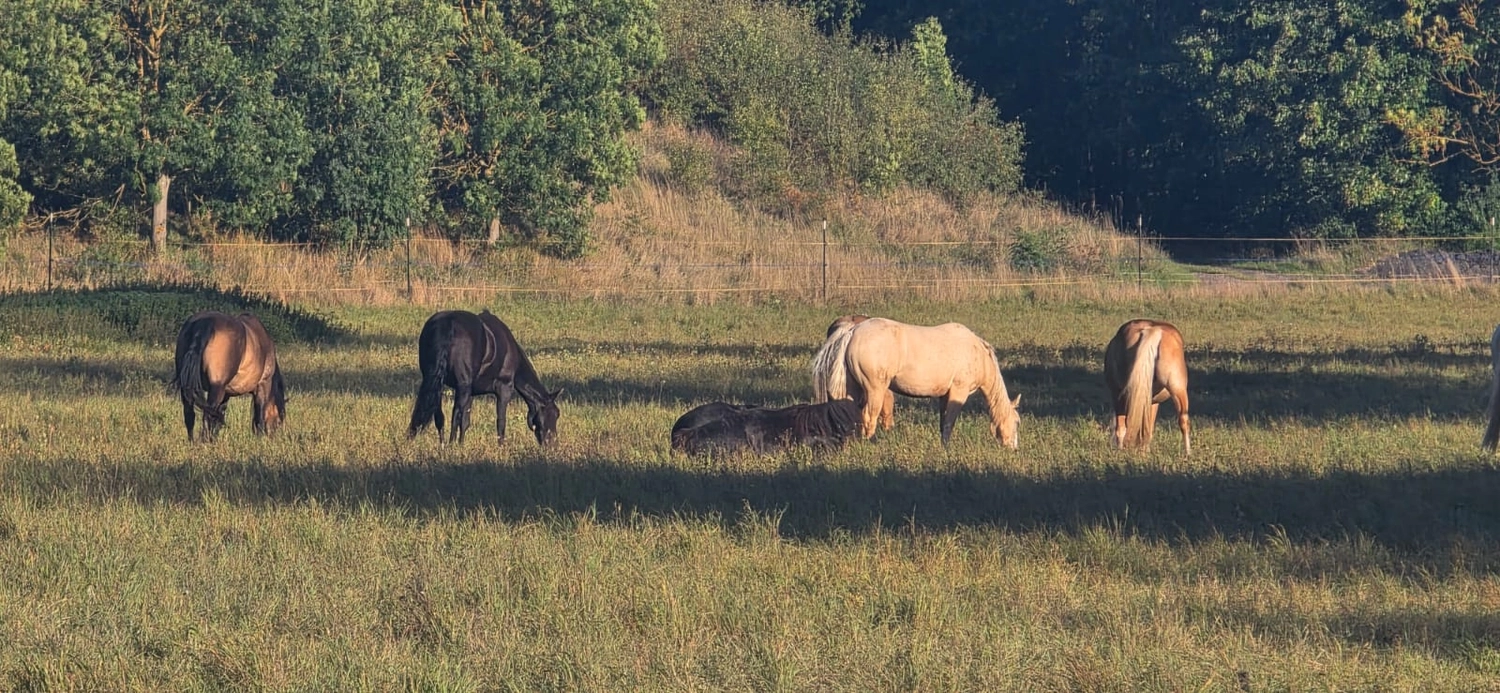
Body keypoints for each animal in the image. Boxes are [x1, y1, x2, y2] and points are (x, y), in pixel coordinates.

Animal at [172, 311, 287, 442]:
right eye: (279, 421)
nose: (274, 437)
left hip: (188, 388)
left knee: (190, 415)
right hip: (216, 389)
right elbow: (260, 415)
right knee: (207, 416)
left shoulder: (226, 393)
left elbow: (220, 414)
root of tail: (205, 323)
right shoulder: (263, 385)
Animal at [407, 309, 561, 446]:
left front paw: (461, 445)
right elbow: (500, 421)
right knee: (455, 413)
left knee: (439, 415)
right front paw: (501, 446)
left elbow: (465, 421)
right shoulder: (504, 388)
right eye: (554, 414)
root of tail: (448, 324)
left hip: (437, 382)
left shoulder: (470, 392)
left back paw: (443, 444)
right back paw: (450, 444)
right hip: (462, 386)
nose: (552, 444)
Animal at [814, 317, 1020, 448]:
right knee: (868, 418)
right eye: (1017, 422)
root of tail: (853, 331)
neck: (976, 352)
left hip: (853, 389)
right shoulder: (958, 392)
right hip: (874, 390)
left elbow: (943, 422)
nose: (1014, 448)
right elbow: (949, 423)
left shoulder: (945, 396)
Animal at [1104, 319, 1191, 455]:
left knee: (1122, 428)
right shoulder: (1153, 403)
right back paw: (1188, 454)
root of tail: (1152, 330)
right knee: (1184, 419)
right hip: (1178, 388)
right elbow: (1148, 430)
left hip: (1120, 396)